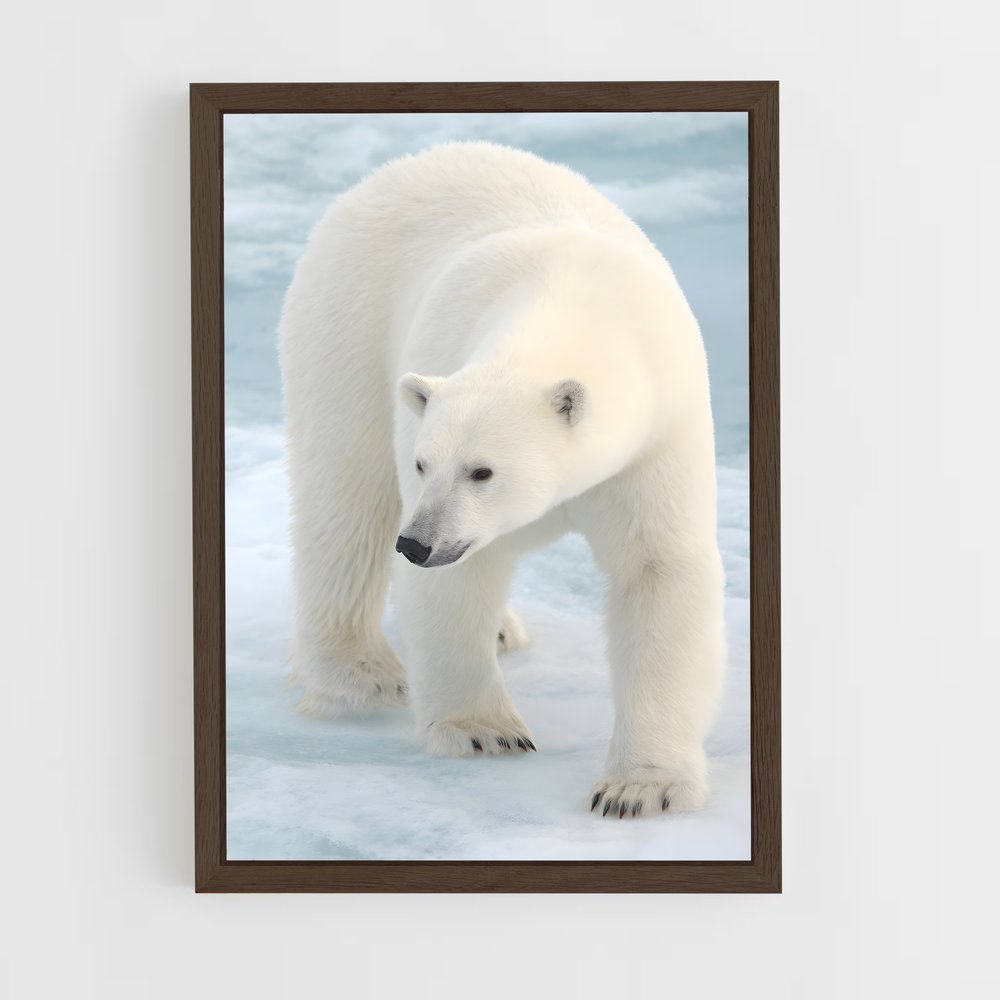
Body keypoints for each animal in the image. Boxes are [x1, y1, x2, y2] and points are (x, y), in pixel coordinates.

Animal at [279, 141, 726, 818]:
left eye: (482, 470)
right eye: (423, 464)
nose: (417, 544)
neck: (572, 302)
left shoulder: (656, 436)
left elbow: (659, 569)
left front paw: (637, 787)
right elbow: (457, 581)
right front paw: (484, 731)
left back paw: (500, 629)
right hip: (346, 322)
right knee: (347, 495)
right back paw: (360, 674)